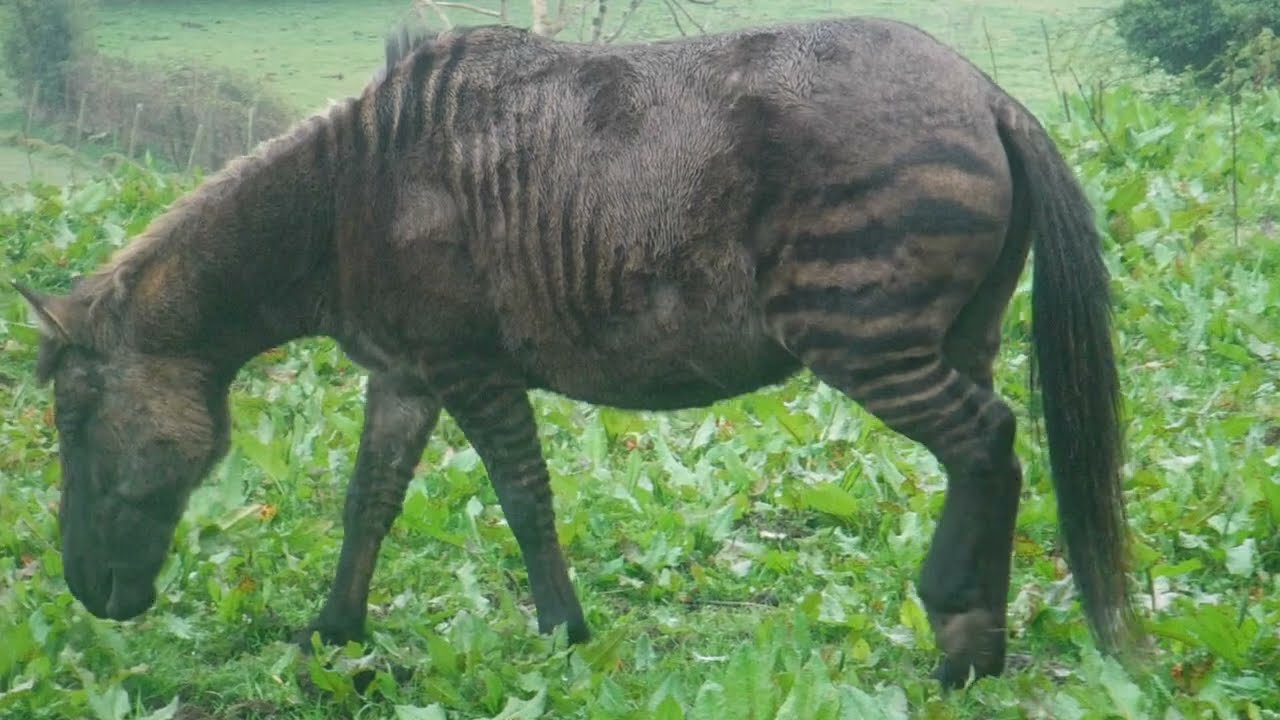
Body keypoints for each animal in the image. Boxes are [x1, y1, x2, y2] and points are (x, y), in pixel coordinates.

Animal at [14, 16, 1138, 687]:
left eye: (72, 421)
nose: (88, 597)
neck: (346, 205)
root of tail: (985, 92)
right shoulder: (404, 372)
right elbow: (368, 500)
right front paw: (334, 635)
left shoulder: (471, 366)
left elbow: (522, 496)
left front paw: (562, 630)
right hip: (954, 331)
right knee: (989, 463)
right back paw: (975, 648)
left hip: (862, 330)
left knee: (987, 443)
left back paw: (952, 627)